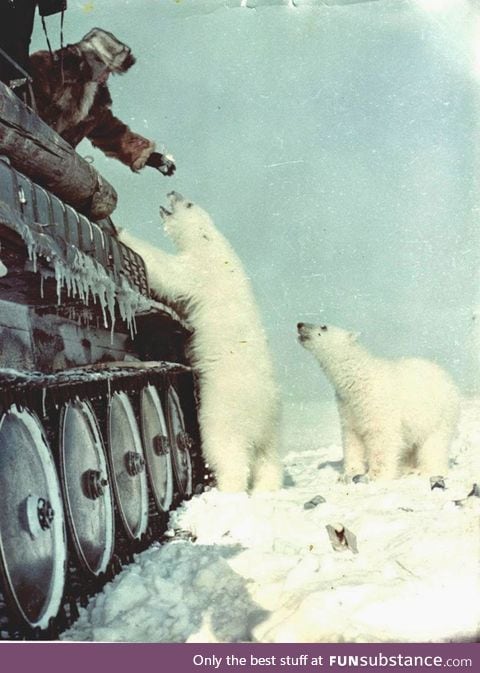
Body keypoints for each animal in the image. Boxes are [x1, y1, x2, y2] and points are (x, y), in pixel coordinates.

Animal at [120, 192, 284, 490]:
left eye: (188, 204)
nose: (172, 192)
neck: (213, 244)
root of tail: (262, 414)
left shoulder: (199, 270)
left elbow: (170, 273)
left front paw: (122, 231)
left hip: (224, 411)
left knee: (227, 452)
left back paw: (227, 489)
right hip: (274, 427)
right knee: (269, 458)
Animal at [296, 320, 462, 478]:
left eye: (323, 327)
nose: (299, 324)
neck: (359, 381)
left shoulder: (377, 404)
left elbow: (382, 438)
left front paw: (375, 476)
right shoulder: (347, 406)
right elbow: (351, 438)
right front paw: (349, 474)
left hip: (439, 414)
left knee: (434, 444)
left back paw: (425, 470)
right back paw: (407, 468)